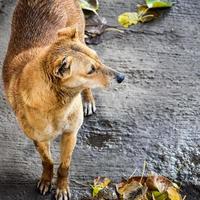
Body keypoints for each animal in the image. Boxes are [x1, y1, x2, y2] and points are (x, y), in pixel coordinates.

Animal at [2, 0, 125, 199]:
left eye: (98, 59)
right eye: (91, 70)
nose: (122, 77)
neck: (58, 104)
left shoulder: (70, 134)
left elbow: (64, 166)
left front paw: (61, 188)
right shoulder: (39, 140)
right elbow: (48, 162)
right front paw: (46, 180)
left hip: (81, 33)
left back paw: (88, 100)